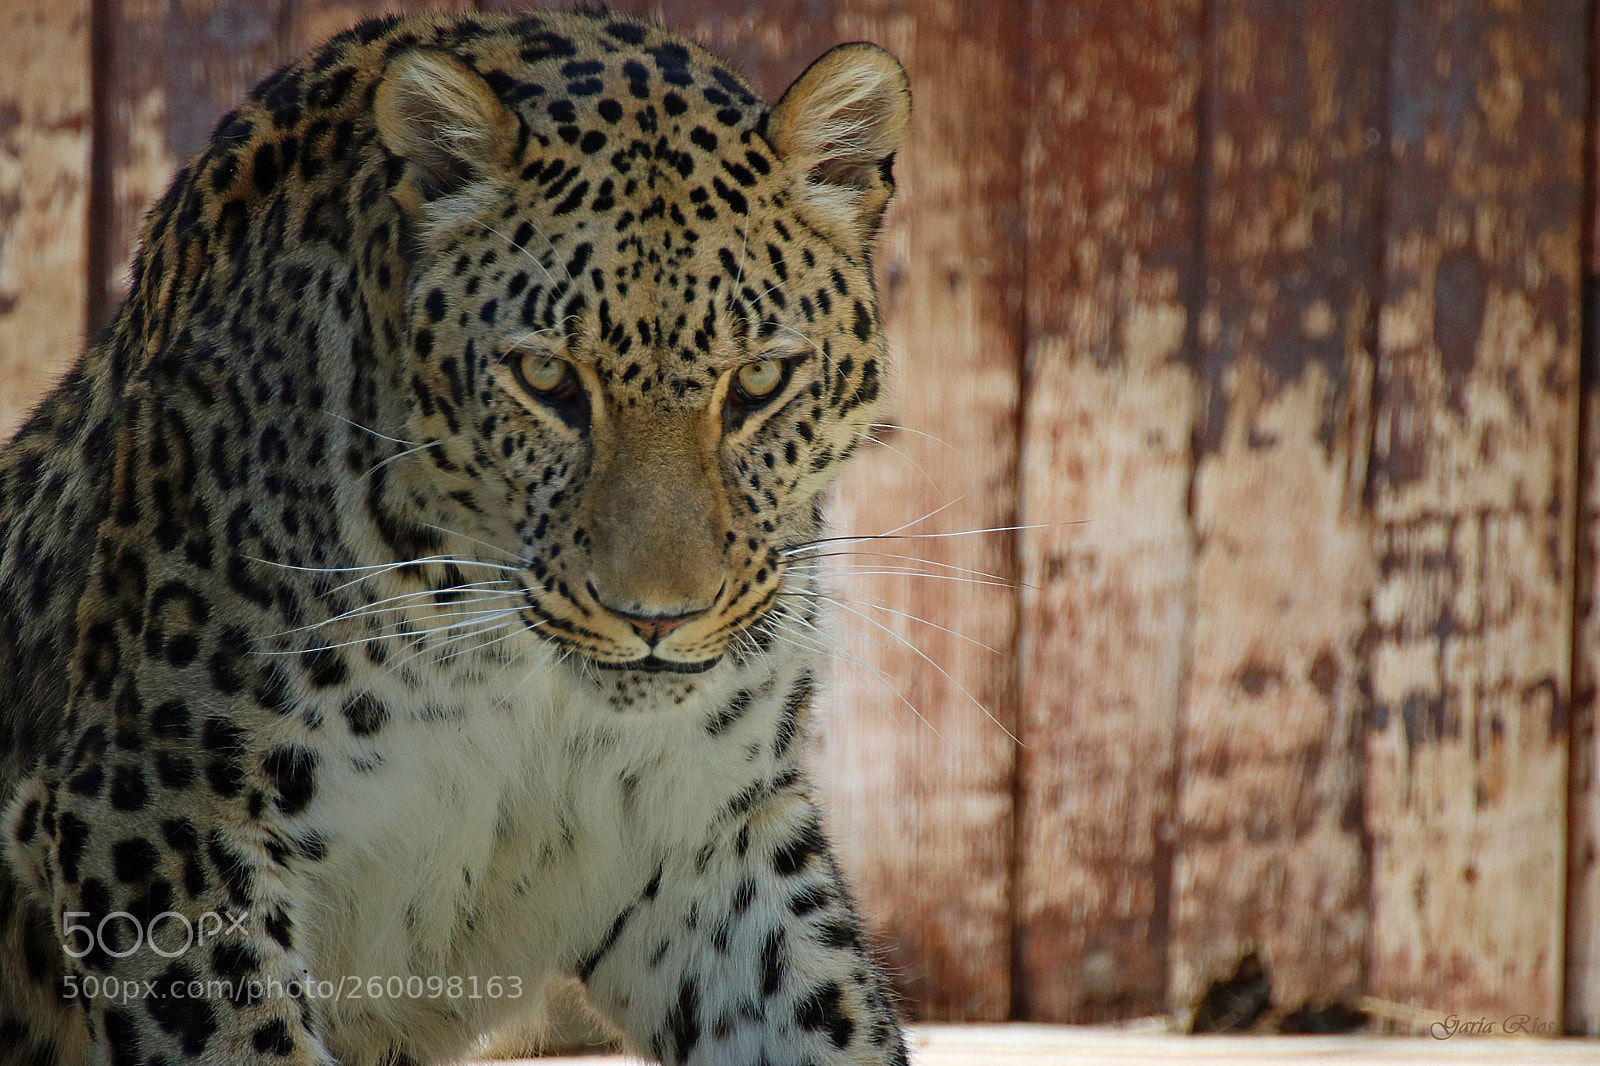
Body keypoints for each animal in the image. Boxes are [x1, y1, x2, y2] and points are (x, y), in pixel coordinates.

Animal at [0, 10, 913, 1065]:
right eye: (547, 379)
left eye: (760, 382)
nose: (658, 618)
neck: (513, 666)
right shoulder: (158, 814)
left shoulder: (711, 832)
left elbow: (822, 1012)